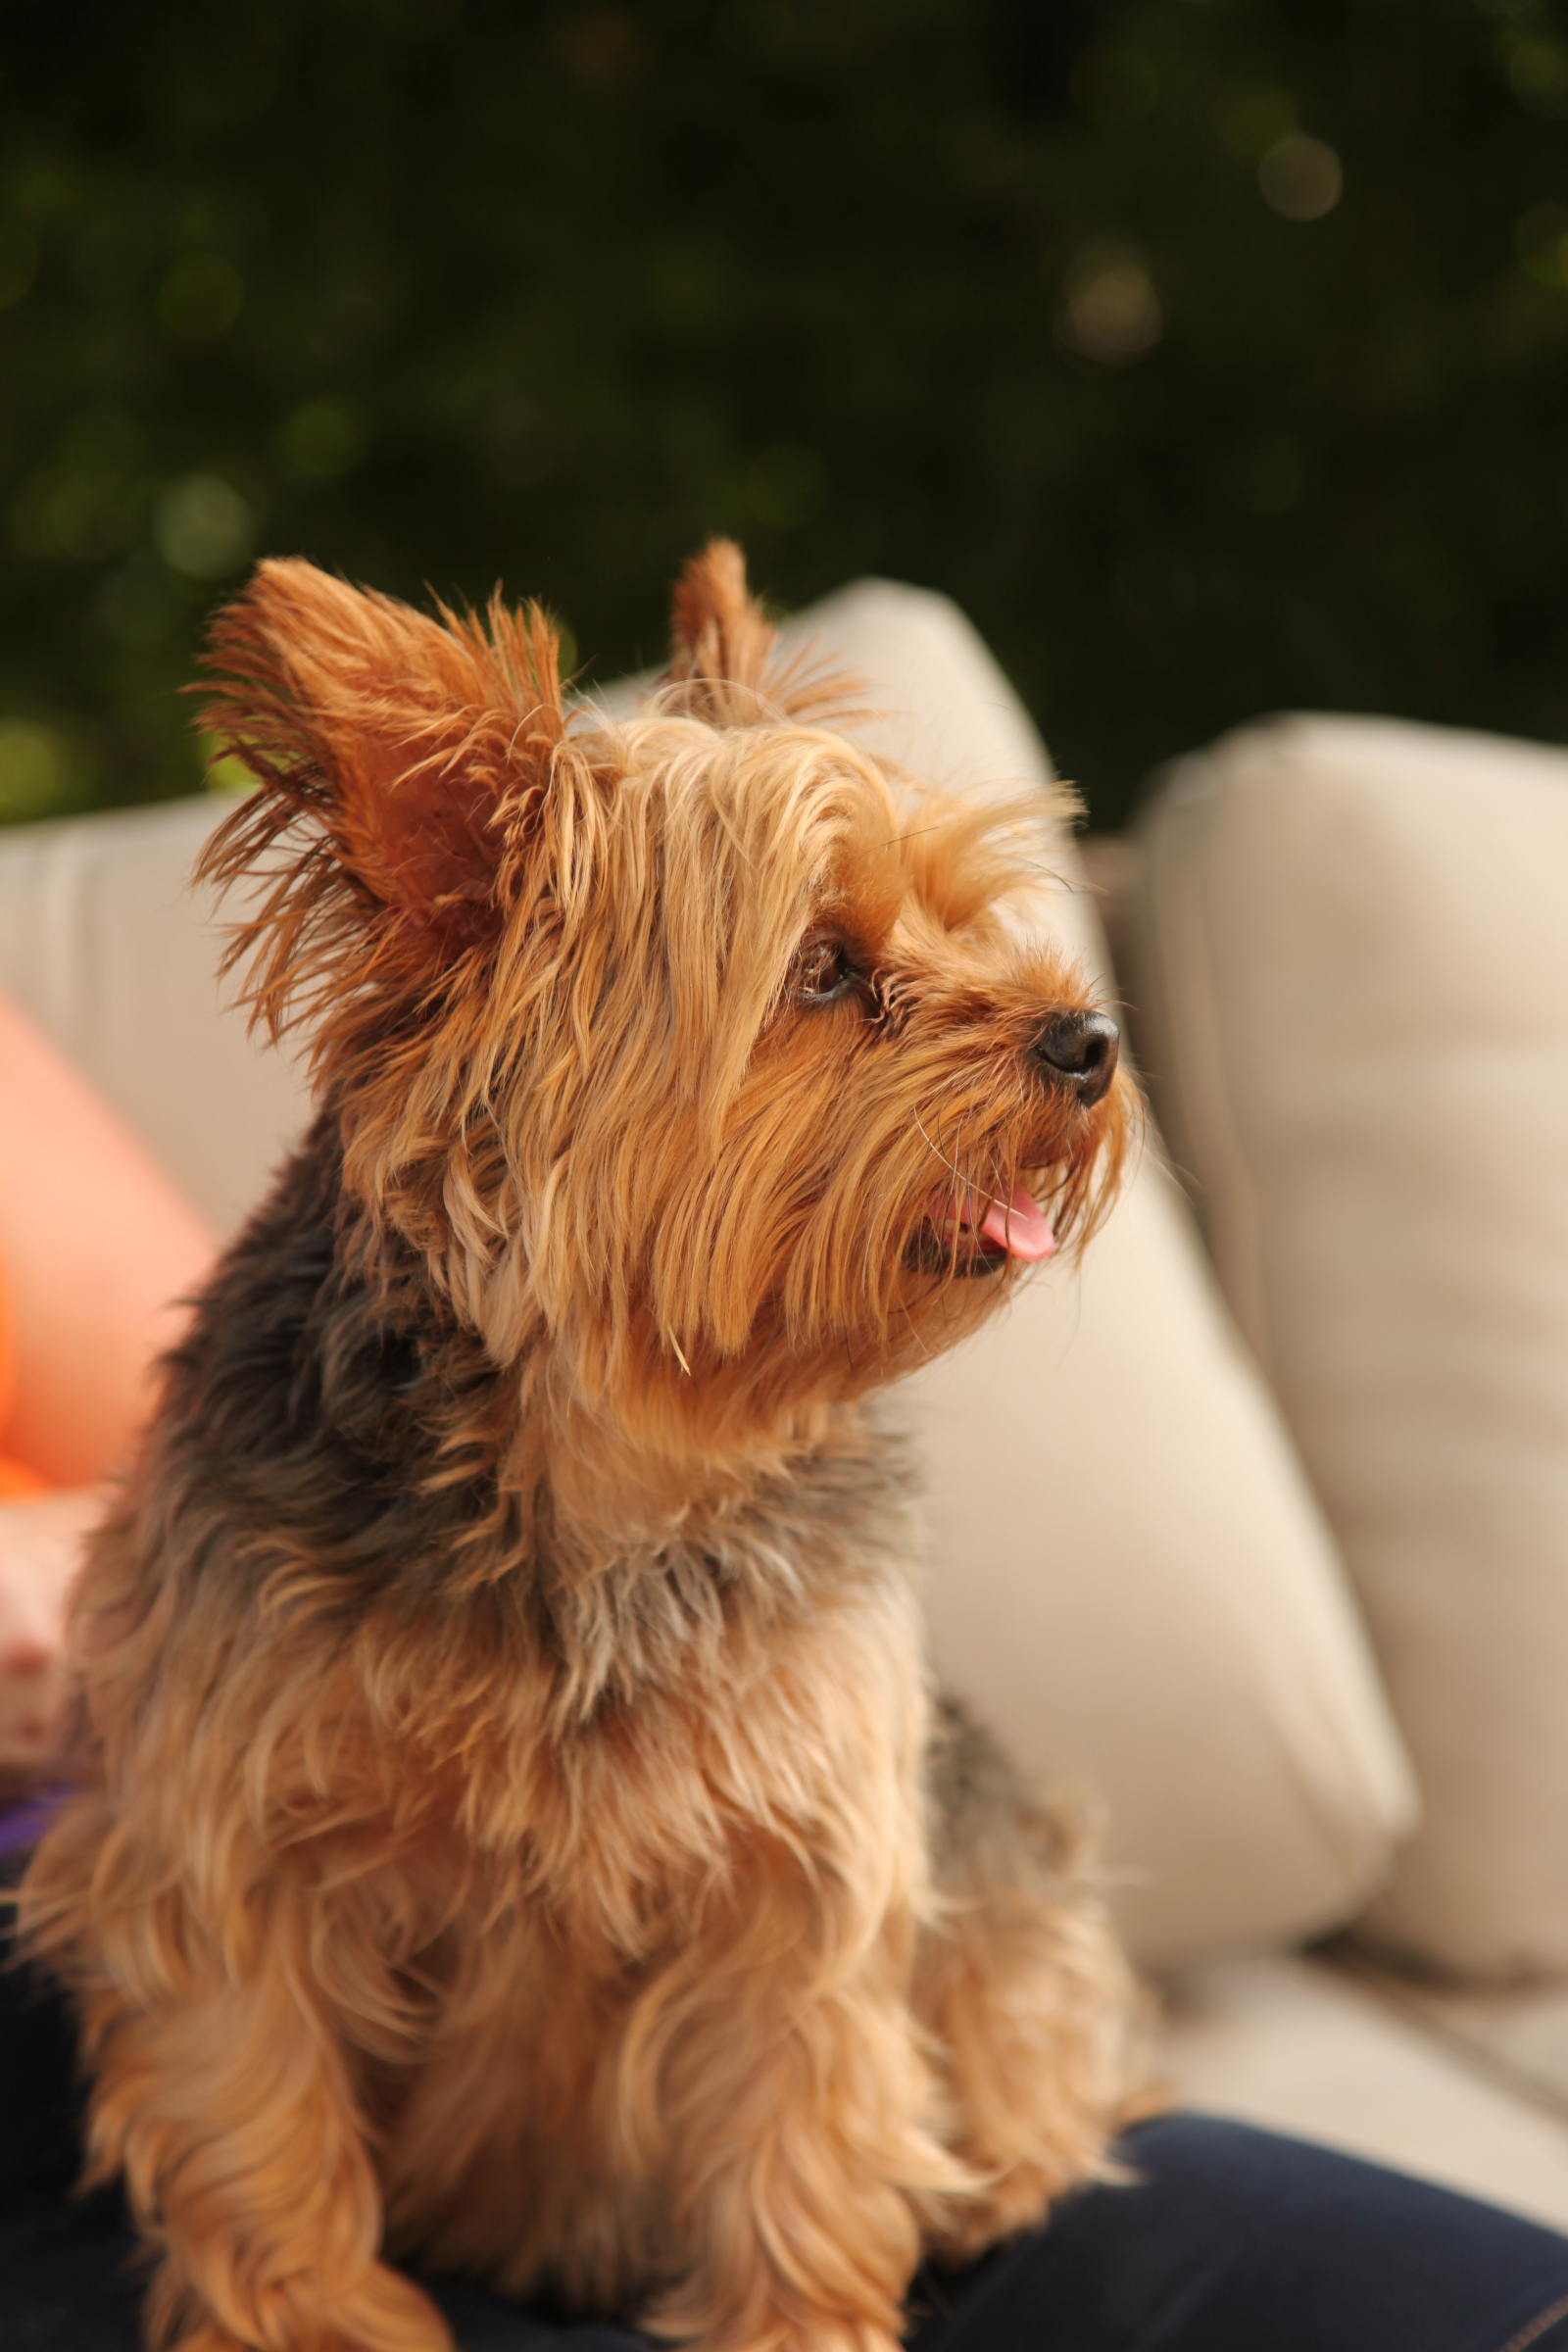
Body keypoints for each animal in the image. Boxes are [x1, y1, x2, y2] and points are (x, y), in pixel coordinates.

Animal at [20, 543, 1141, 2352]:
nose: (1091, 1040)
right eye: (824, 969)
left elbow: (807, 2117)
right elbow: (253, 2098)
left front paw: (802, 2322)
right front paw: (318, 2315)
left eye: (967, 921)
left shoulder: (806, 1843)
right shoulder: (218, 1817)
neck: (606, 1467)